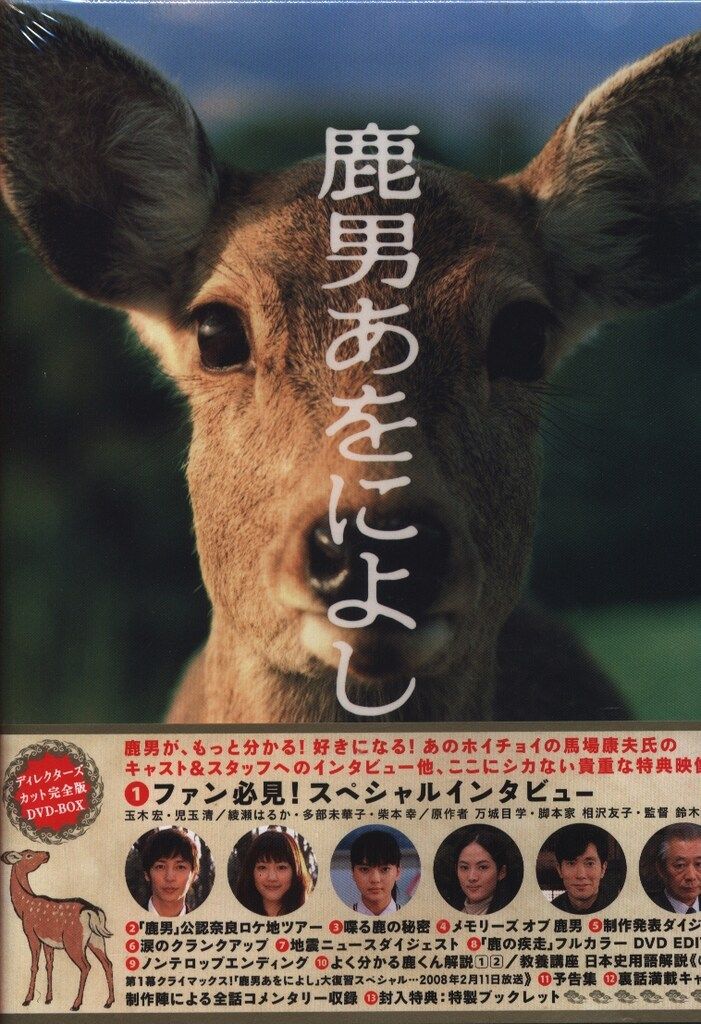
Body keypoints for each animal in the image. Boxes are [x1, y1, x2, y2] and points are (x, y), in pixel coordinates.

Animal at [1, 848, 115, 1011]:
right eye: (29, 855)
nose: (46, 853)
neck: (24, 908)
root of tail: (92, 911)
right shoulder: (47, 941)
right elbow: (49, 966)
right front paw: (48, 999)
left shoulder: (30, 933)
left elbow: (34, 966)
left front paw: (27, 999)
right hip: (96, 939)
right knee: (108, 963)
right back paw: (109, 1002)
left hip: (73, 941)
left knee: (86, 966)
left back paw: (76, 1004)